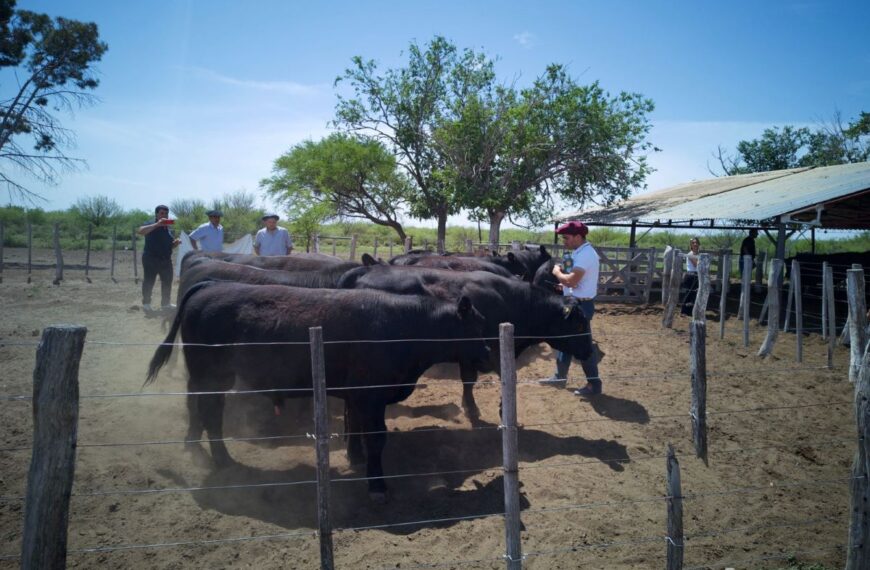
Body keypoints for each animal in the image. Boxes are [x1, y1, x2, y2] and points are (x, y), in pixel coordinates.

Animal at [146, 280, 494, 496]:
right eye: (476, 325)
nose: (490, 355)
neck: (405, 326)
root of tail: (210, 285)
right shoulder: (371, 395)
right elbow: (376, 437)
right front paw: (377, 485)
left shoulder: (357, 395)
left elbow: (355, 428)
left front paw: (356, 459)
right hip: (211, 376)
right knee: (209, 413)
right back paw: (222, 460)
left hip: (211, 378)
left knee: (201, 409)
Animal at [340, 264, 600, 420]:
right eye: (579, 325)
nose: (590, 351)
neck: (514, 301)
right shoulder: (493, 351)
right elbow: (504, 378)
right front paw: (501, 410)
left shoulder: (470, 353)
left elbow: (468, 381)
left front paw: (470, 407)